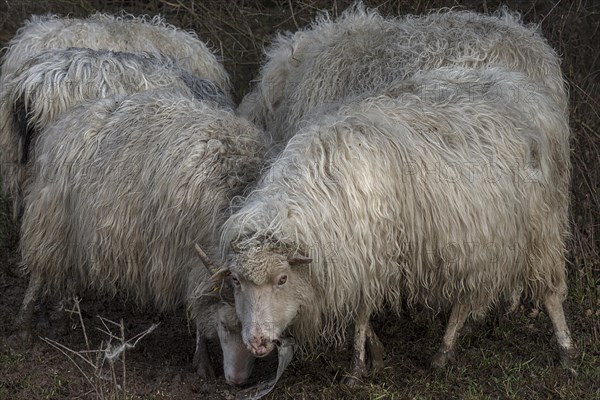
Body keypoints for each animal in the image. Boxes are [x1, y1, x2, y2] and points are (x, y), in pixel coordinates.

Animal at [15, 90, 264, 384]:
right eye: (226, 325)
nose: (238, 381)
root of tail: (62, 122)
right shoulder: (187, 257)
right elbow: (198, 305)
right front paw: (202, 362)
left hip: (76, 228)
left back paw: (63, 317)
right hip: (50, 218)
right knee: (39, 272)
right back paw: (24, 327)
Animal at [216, 66, 576, 384]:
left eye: (282, 279)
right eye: (235, 280)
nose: (256, 343)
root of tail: (530, 90)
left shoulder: (371, 253)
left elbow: (361, 314)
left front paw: (357, 368)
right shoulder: (357, 263)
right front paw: (376, 354)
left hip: (541, 221)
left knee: (550, 291)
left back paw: (565, 348)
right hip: (484, 231)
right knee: (469, 292)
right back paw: (449, 347)